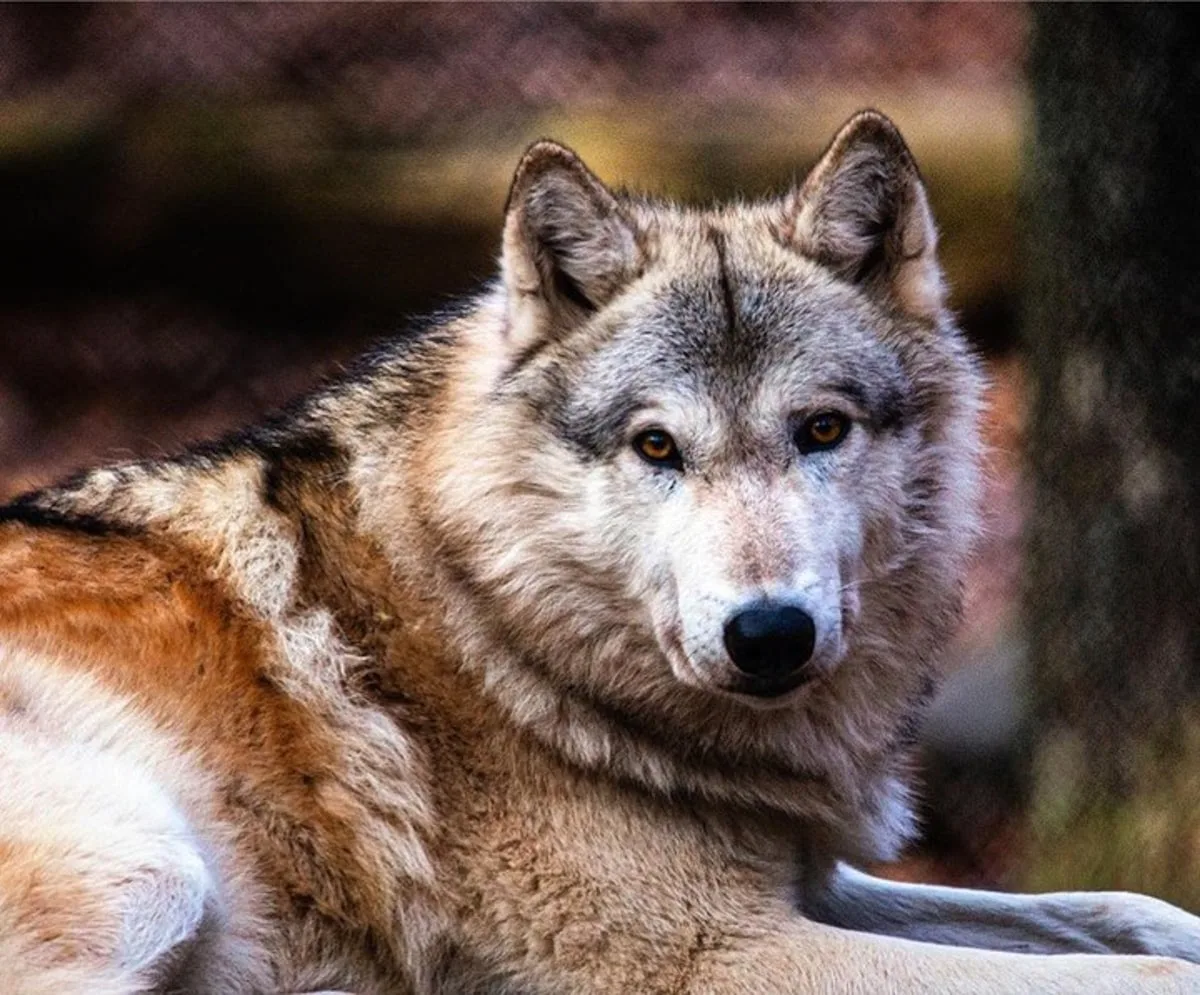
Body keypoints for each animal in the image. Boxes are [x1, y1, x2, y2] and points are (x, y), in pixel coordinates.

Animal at [2, 110, 1200, 993]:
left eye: (821, 429)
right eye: (656, 444)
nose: (770, 633)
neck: (489, 621)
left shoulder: (803, 885)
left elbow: (1131, 912)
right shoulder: (715, 951)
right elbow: (1138, 971)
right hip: (151, 865)